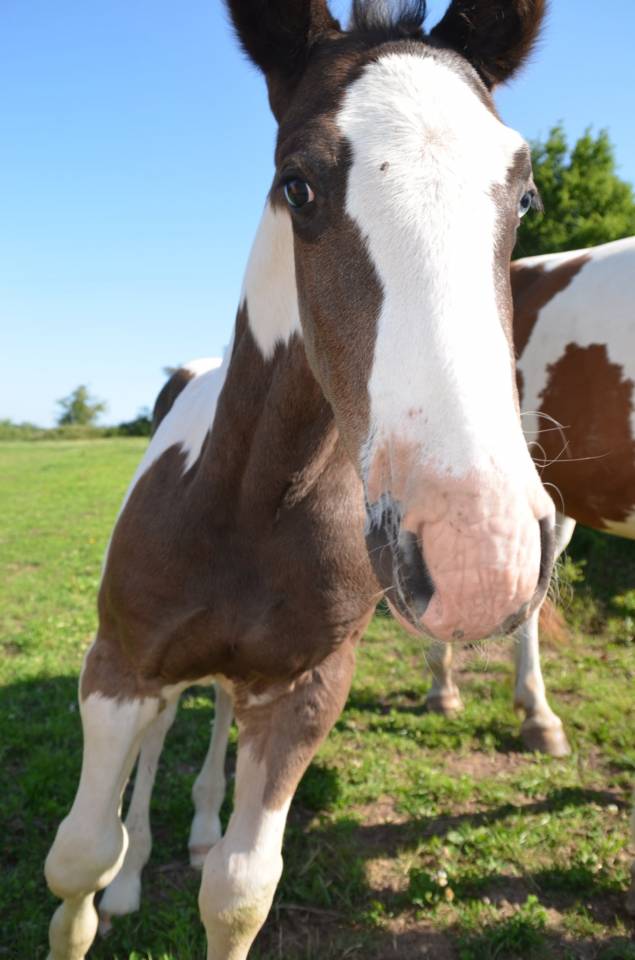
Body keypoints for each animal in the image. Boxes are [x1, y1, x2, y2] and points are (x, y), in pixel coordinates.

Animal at [44, 2, 554, 957]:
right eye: (299, 185)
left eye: (524, 194)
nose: (478, 554)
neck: (255, 498)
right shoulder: (117, 665)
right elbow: (79, 859)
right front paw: (109, 886)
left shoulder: (306, 693)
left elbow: (241, 894)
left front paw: (214, 854)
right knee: (160, 744)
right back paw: (136, 875)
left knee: (214, 720)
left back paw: (202, 827)